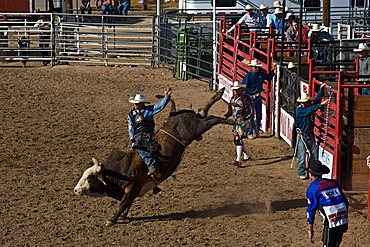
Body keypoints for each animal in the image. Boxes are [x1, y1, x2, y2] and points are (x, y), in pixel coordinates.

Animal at [73, 89, 236, 226]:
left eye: (90, 178)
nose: (75, 190)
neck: (118, 170)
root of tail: (174, 113)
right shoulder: (131, 192)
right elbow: (127, 205)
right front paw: (124, 217)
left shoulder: (132, 189)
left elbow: (122, 205)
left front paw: (111, 220)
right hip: (196, 126)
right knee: (203, 113)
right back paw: (220, 94)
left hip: (194, 128)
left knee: (212, 119)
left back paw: (233, 119)